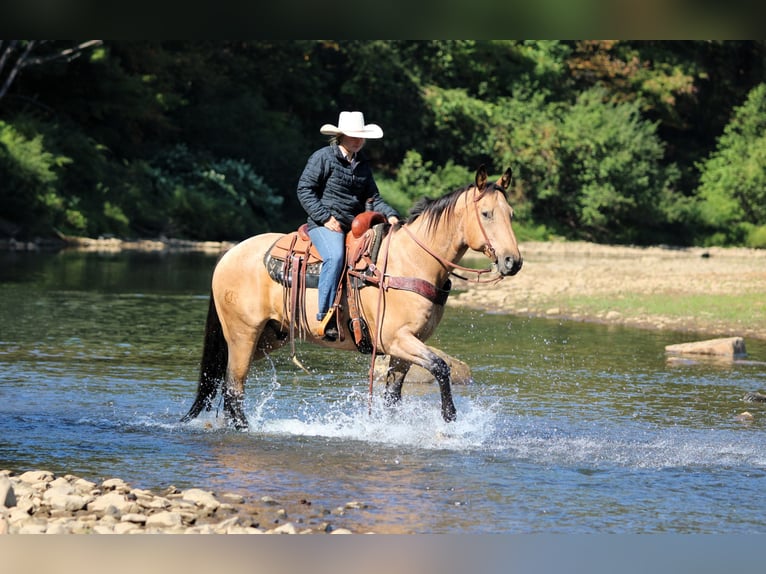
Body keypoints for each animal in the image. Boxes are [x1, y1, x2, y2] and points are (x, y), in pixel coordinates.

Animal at [180, 164, 523, 429]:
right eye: (486, 213)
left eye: (510, 213)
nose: (512, 261)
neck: (412, 261)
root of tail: (228, 255)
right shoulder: (397, 339)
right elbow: (440, 367)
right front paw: (450, 417)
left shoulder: (404, 348)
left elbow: (392, 398)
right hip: (243, 334)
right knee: (233, 387)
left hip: (267, 336)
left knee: (223, 381)